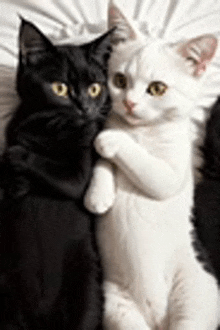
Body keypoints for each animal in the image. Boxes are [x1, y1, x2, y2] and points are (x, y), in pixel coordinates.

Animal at [0, 18, 112, 330]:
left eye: (95, 89)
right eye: (60, 88)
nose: (84, 107)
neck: (51, 127)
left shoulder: (79, 175)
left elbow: (31, 158)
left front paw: (17, 165)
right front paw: (15, 183)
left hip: (87, 289)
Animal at [84, 3, 218, 330]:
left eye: (157, 89)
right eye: (120, 81)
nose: (129, 103)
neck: (141, 131)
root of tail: (157, 318)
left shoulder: (170, 174)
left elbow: (142, 161)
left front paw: (109, 140)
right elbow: (104, 162)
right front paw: (98, 195)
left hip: (196, 293)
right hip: (117, 308)